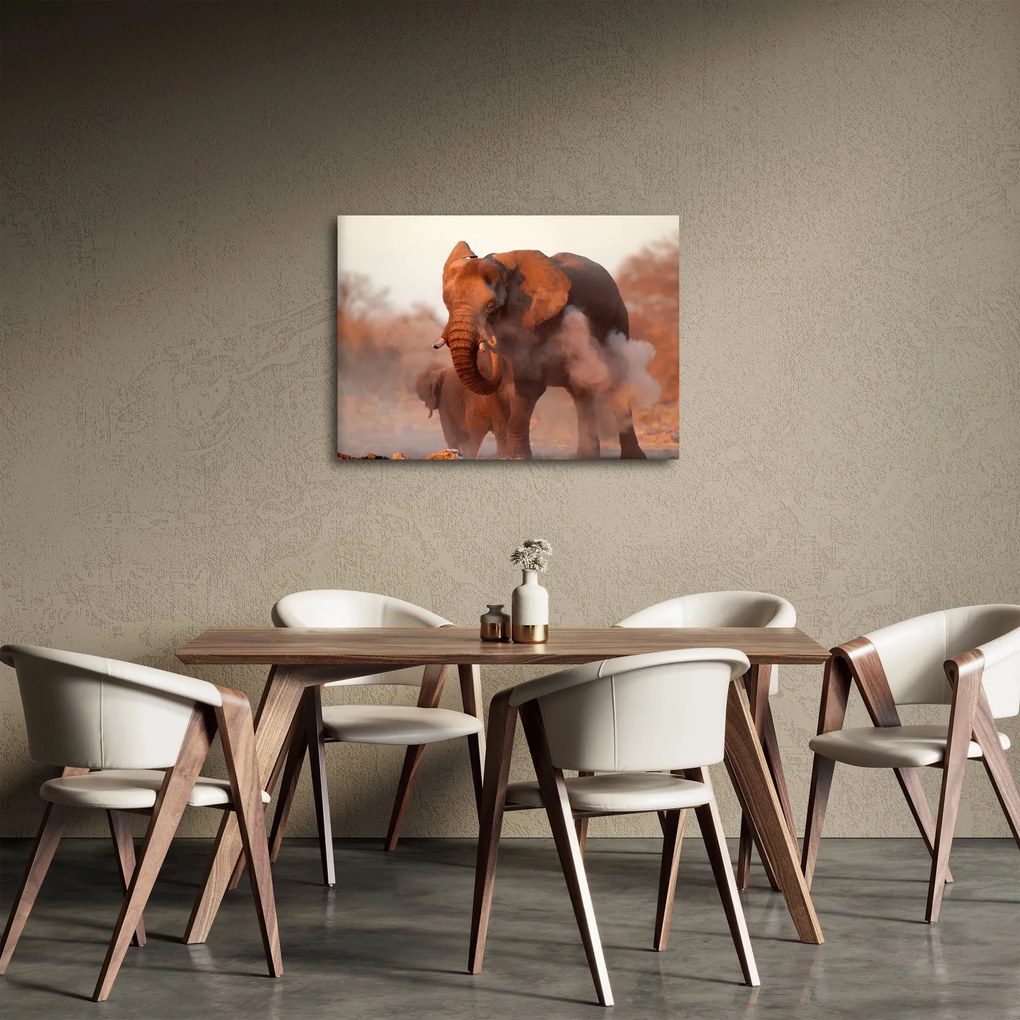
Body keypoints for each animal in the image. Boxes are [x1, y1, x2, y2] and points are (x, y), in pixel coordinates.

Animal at [435, 241, 647, 460]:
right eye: (447, 303)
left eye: (491, 306)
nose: (491, 342)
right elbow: (497, 392)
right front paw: (502, 457)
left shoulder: (536, 322)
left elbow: (529, 387)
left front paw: (517, 457)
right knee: (580, 391)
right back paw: (585, 456)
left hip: (618, 321)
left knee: (617, 383)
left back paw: (633, 457)